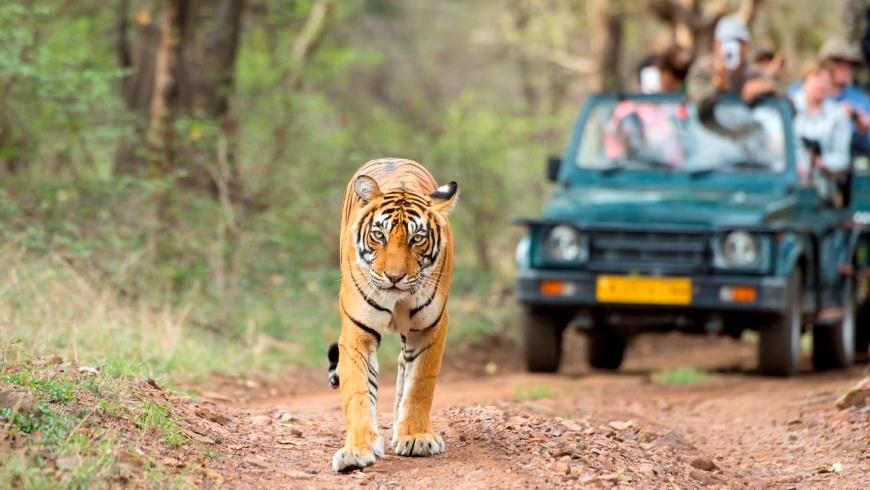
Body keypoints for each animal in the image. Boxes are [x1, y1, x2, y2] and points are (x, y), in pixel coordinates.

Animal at [327, 158, 458, 472]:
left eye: (417, 239)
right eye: (379, 235)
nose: (394, 277)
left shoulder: (430, 328)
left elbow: (420, 383)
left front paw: (416, 437)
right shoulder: (357, 333)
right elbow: (358, 392)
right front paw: (356, 450)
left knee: (403, 366)